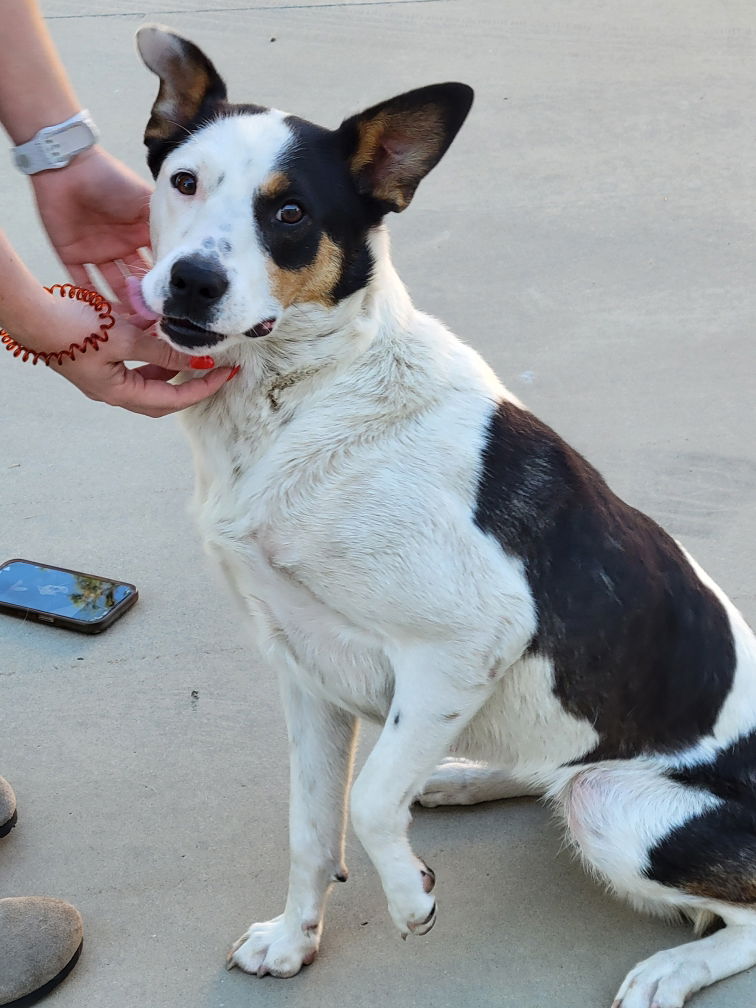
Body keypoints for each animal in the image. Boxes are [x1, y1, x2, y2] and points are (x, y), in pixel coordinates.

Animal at [136, 25, 756, 1008]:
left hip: (613, 801)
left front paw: (408, 895)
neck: (306, 395)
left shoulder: (462, 642)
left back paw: (674, 967)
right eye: (184, 181)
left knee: (734, 907)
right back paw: (466, 778)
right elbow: (312, 828)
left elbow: (367, 799)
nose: (189, 283)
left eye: (290, 212)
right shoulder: (305, 672)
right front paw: (293, 940)